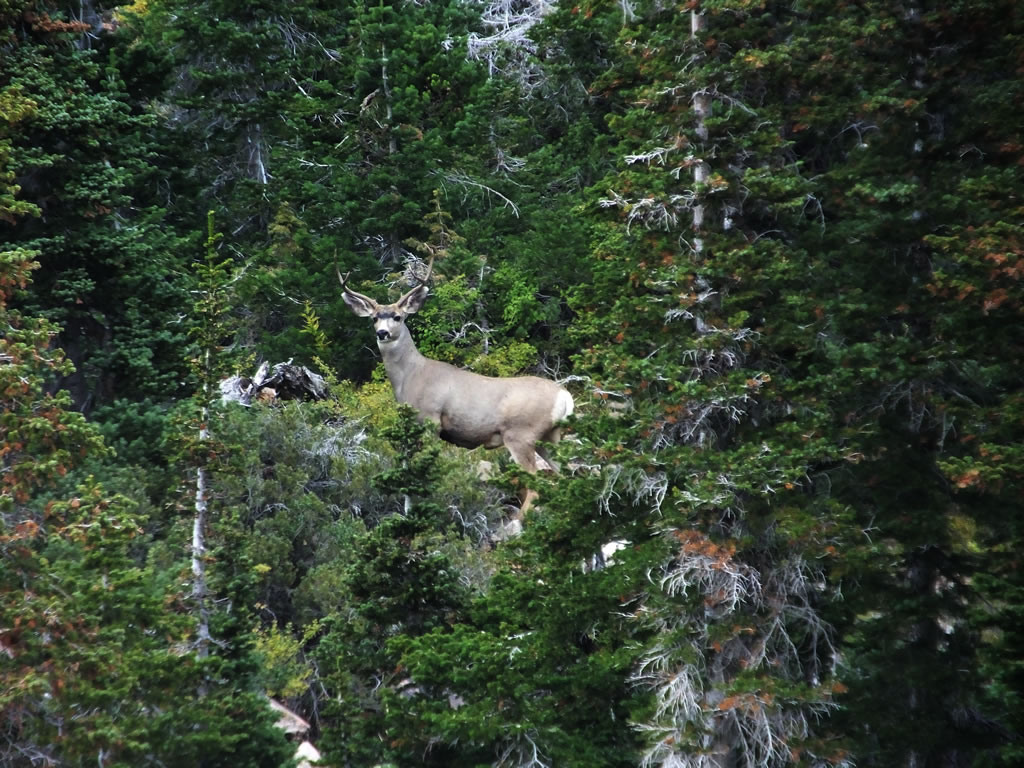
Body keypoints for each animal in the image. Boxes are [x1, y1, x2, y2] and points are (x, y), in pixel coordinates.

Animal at [338, 260, 574, 515]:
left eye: (398, 317)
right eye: (374, 318)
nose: (383, 333)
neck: (411, 376)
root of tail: (564, 395)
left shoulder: (431, 419)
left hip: (521, 435)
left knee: (537, 484)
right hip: (550, 437)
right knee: (567, 475)